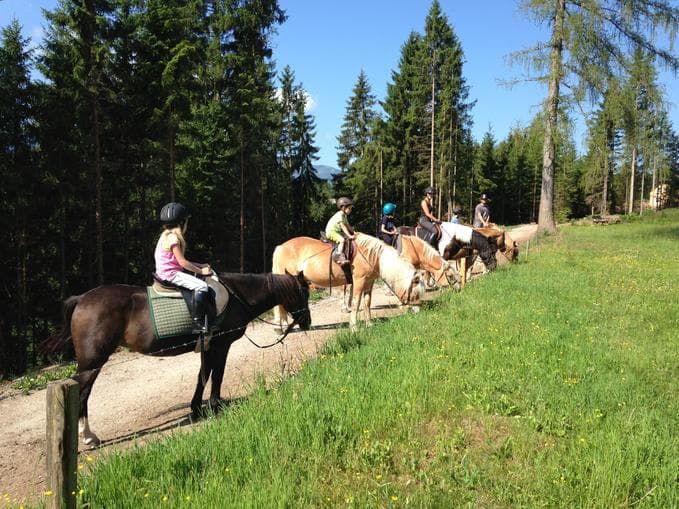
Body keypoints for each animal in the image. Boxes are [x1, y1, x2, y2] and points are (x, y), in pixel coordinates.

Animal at [47, 272, 311, 445]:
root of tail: (82, 299)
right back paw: (88, 436)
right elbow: (217, 375)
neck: (237, 297)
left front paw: (197, 408)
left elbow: (203, 376)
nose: (307, 322)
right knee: (82, 392)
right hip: (92, 363)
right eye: (303, 294)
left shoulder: (208, 347)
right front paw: (215, 405)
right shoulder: (221, 345)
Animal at [272, 232, 425, 330]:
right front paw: (354, 327)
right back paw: (280, 327)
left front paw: (369, 324)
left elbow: (367, 303)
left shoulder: (369, 283)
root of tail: (280, 247)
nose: (418, 311)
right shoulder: (359, 281)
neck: (371, 255)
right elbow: (356, 303)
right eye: (415, 293)